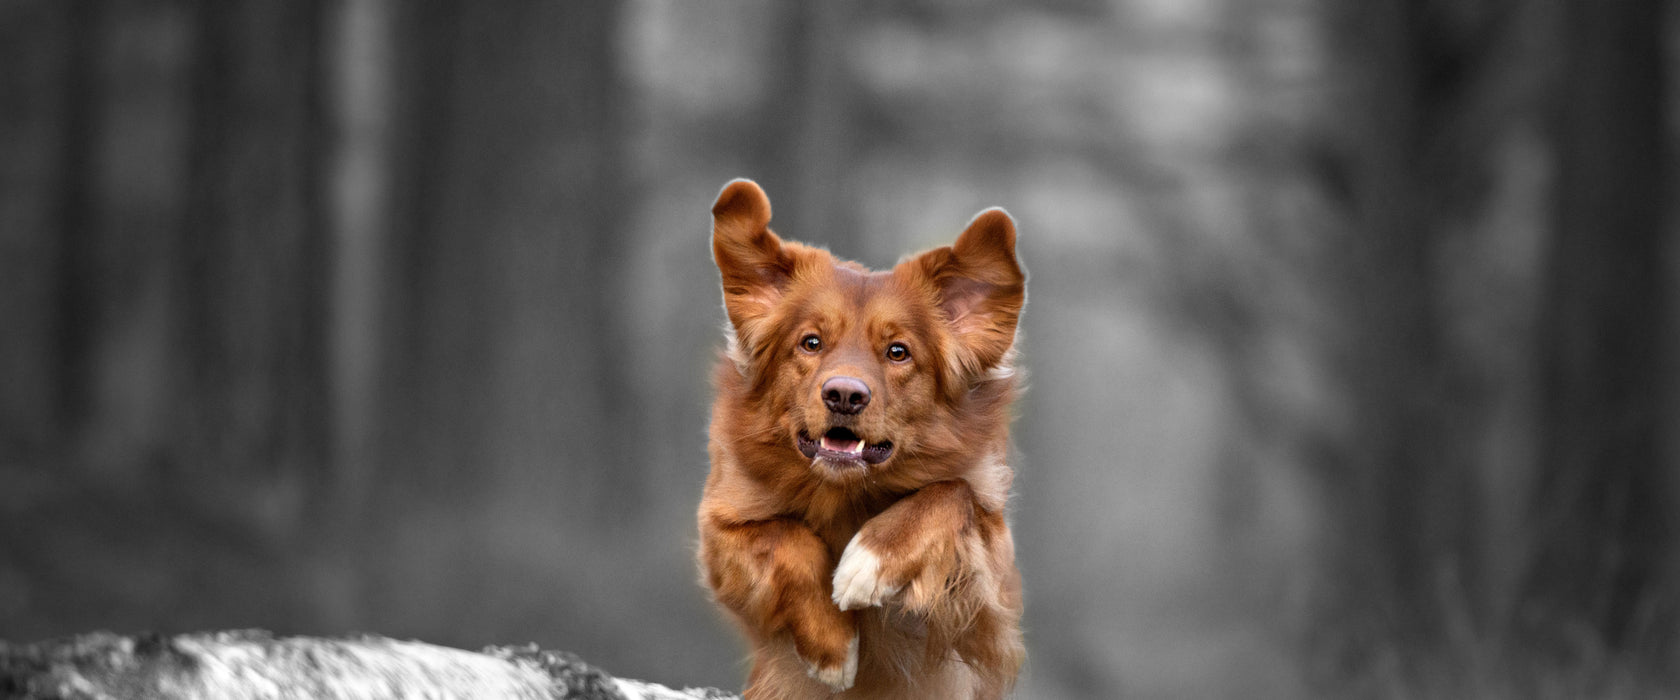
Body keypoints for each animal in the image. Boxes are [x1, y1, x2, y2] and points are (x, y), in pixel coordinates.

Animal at [695, 181, 1021, 698]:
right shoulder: (720, 526)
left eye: (898, 352)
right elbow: (787, 538)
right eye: (810, 342)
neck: (845, 493)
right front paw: (834, 647)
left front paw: (870, 561)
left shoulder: (990, 609)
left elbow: (952, 493)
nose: (844, 395)